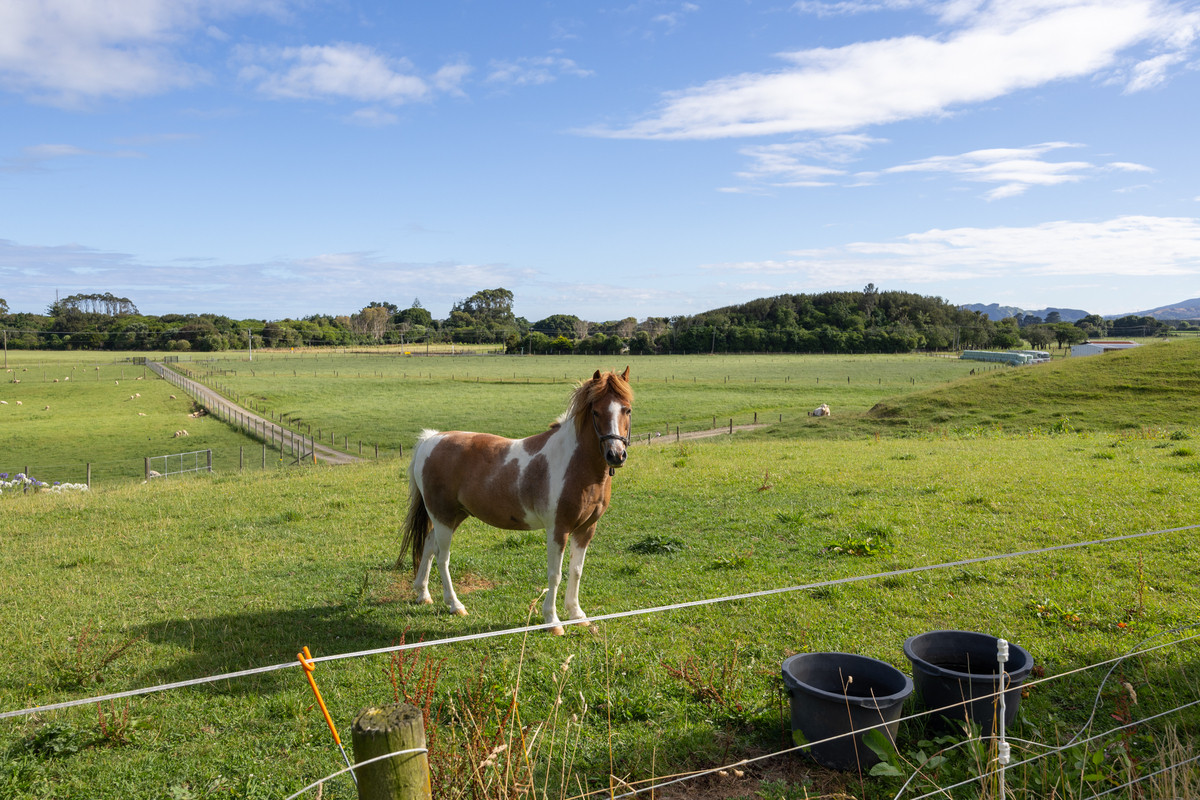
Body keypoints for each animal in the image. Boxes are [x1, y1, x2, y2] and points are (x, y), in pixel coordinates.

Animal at [398, 367, 633, 633]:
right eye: (596, 411)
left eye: (627, 409)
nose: (616, 455)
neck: (575, 464)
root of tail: (431, 439)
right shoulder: (558, 528)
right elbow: (555, 574)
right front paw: (552, 621)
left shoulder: (585, 529)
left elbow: (576, 570)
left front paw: (576, 614)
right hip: (443, 516)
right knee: (441, 556)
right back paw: (455, 605)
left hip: (453, 515)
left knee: (428, 545)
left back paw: (423, 594)